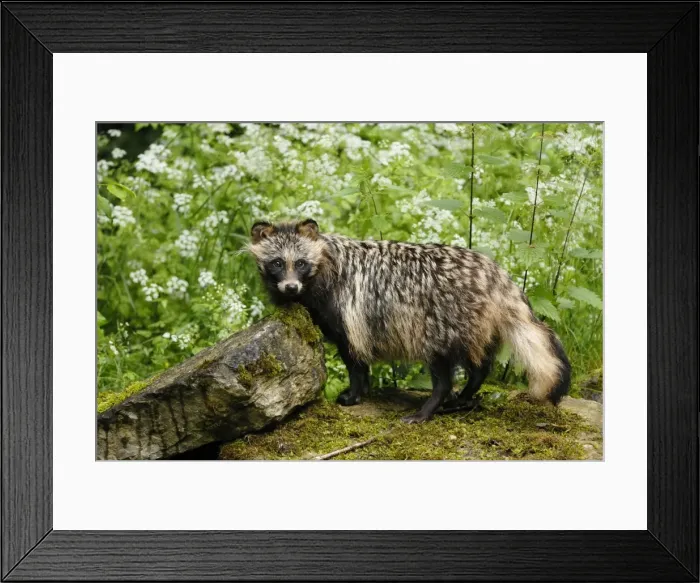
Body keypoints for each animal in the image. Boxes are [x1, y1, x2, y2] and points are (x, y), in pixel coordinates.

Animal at [248, 218, 571, 423]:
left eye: (301, 263)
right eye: (277, 263)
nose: (291, 287)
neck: (326, 262)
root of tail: (496, 275)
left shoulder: (346, 312)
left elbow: (354, 359)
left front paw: (354, 394)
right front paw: (363, 390)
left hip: (440, 322)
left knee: (444, 372)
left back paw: (428, 408)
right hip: (476, 325)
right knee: (480, 365)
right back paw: (465, 395)